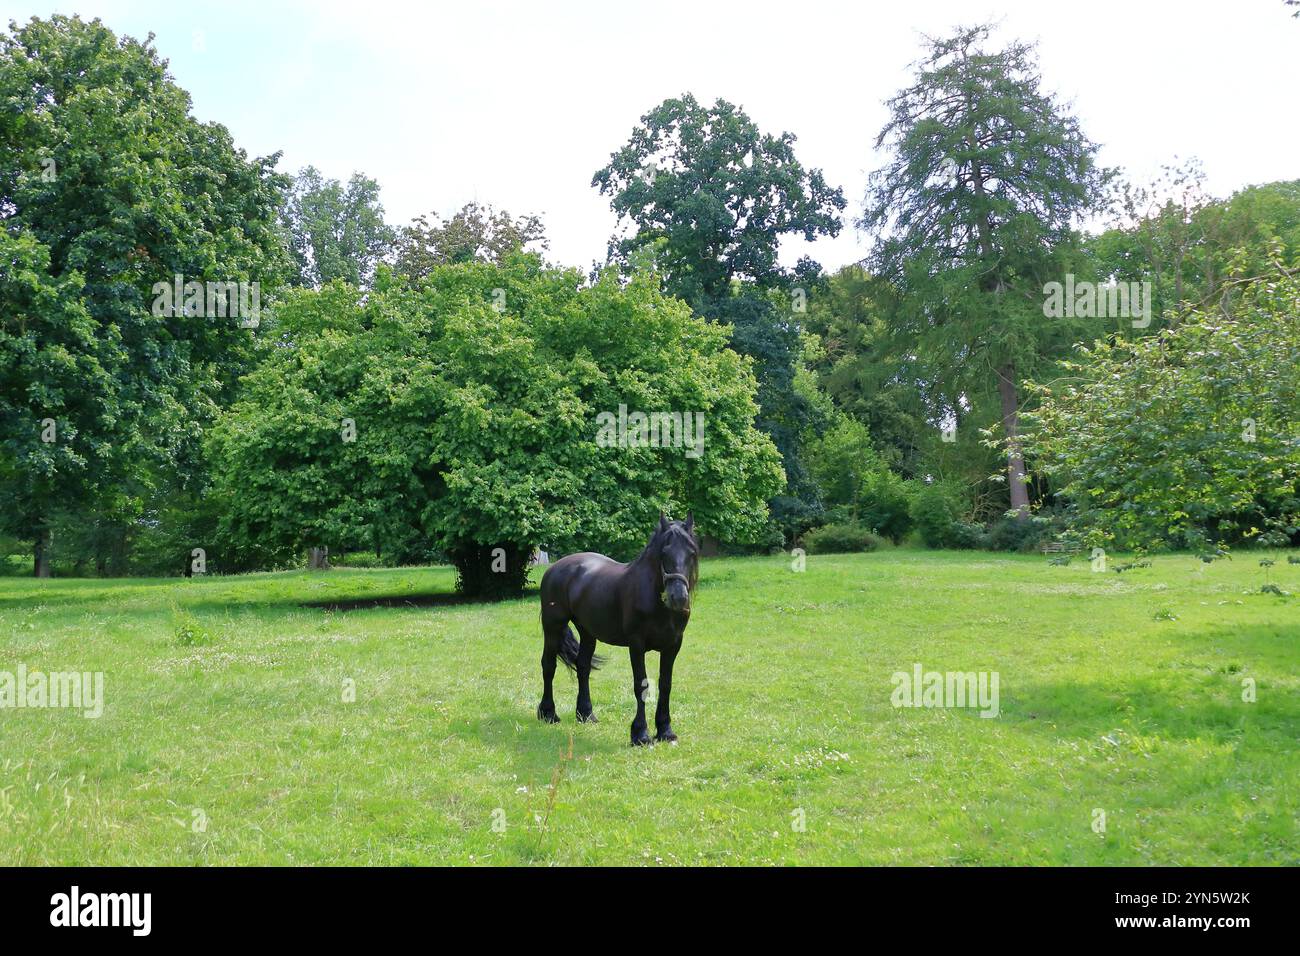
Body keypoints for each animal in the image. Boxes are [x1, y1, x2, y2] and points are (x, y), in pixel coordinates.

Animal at [537, 513, 699, 746]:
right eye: (664, 553)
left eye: (691, 552)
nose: (678, 597)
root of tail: (554, 568)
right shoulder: (636, 644)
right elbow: (641, 685)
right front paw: (640, 734)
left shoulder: (673, 645)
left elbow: (665, 685)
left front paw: (665, 731)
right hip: (553, 627)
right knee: (548, 666)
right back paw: (548, 713)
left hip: (587, 632)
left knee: (583, 667)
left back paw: (586, 714)